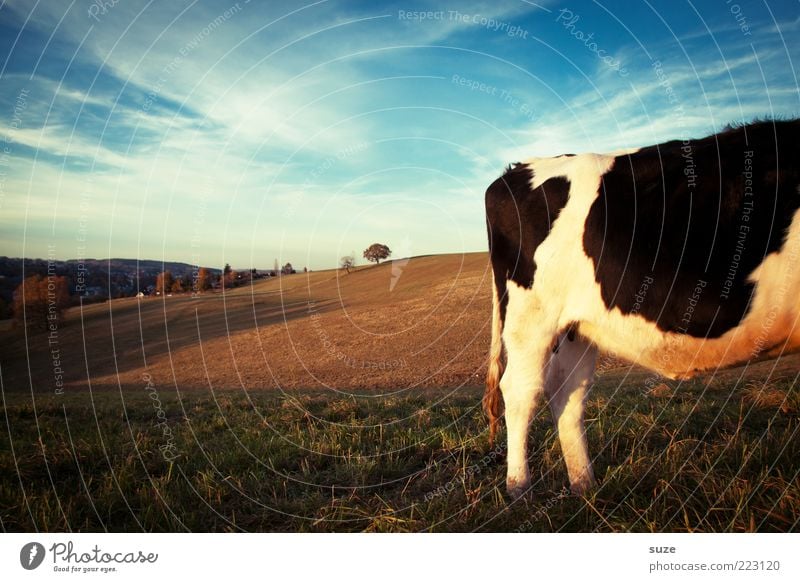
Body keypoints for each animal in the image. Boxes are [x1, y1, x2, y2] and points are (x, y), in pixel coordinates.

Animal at [482, 117, 800, 498]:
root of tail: (515, 169)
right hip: (529, 318)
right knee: (520, 391)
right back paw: (520, 489)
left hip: (575, 327)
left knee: (566, 389)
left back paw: (584, 486)